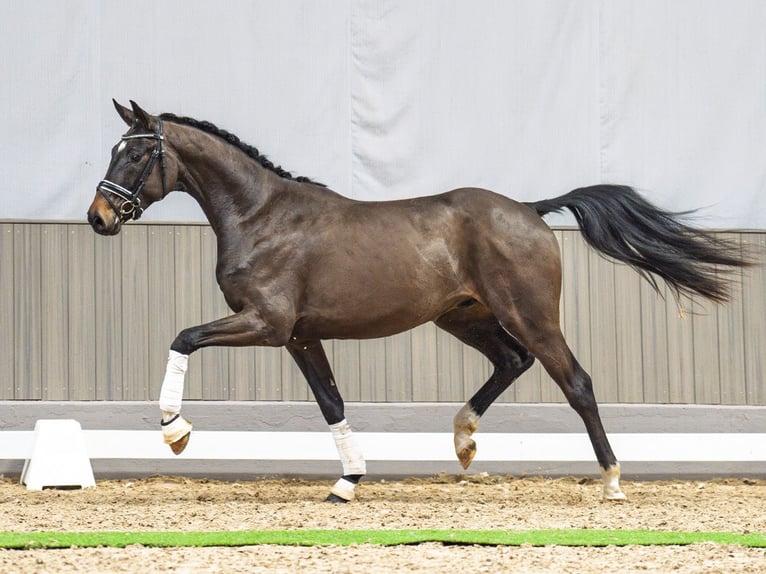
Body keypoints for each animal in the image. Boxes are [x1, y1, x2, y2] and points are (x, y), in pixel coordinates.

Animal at [88, 102, 752, 504]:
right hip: (465, 316)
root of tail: (529, 209)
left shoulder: (267, 324)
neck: (260, 216)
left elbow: (182, 337)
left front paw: (176, 431)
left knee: (577, 382)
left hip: (530, 315)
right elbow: (331, 403)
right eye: (115, 149)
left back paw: (612, 480)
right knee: (512, 363)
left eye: (137, 152)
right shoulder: (300, 336)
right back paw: (463, 440)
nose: (98, 218)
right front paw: (348, 482)